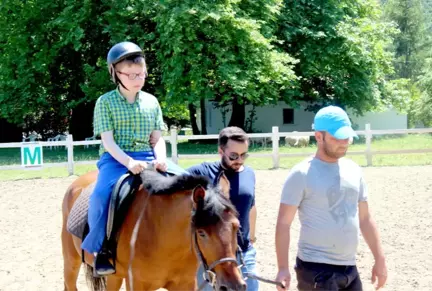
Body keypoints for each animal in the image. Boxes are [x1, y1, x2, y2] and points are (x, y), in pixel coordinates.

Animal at [60, 169, 246, 291]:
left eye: (236, 226)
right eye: (201, 233)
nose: (233, 286)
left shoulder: (185, 283)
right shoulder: (136, 284)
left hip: (114, 275)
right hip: (71, 262)